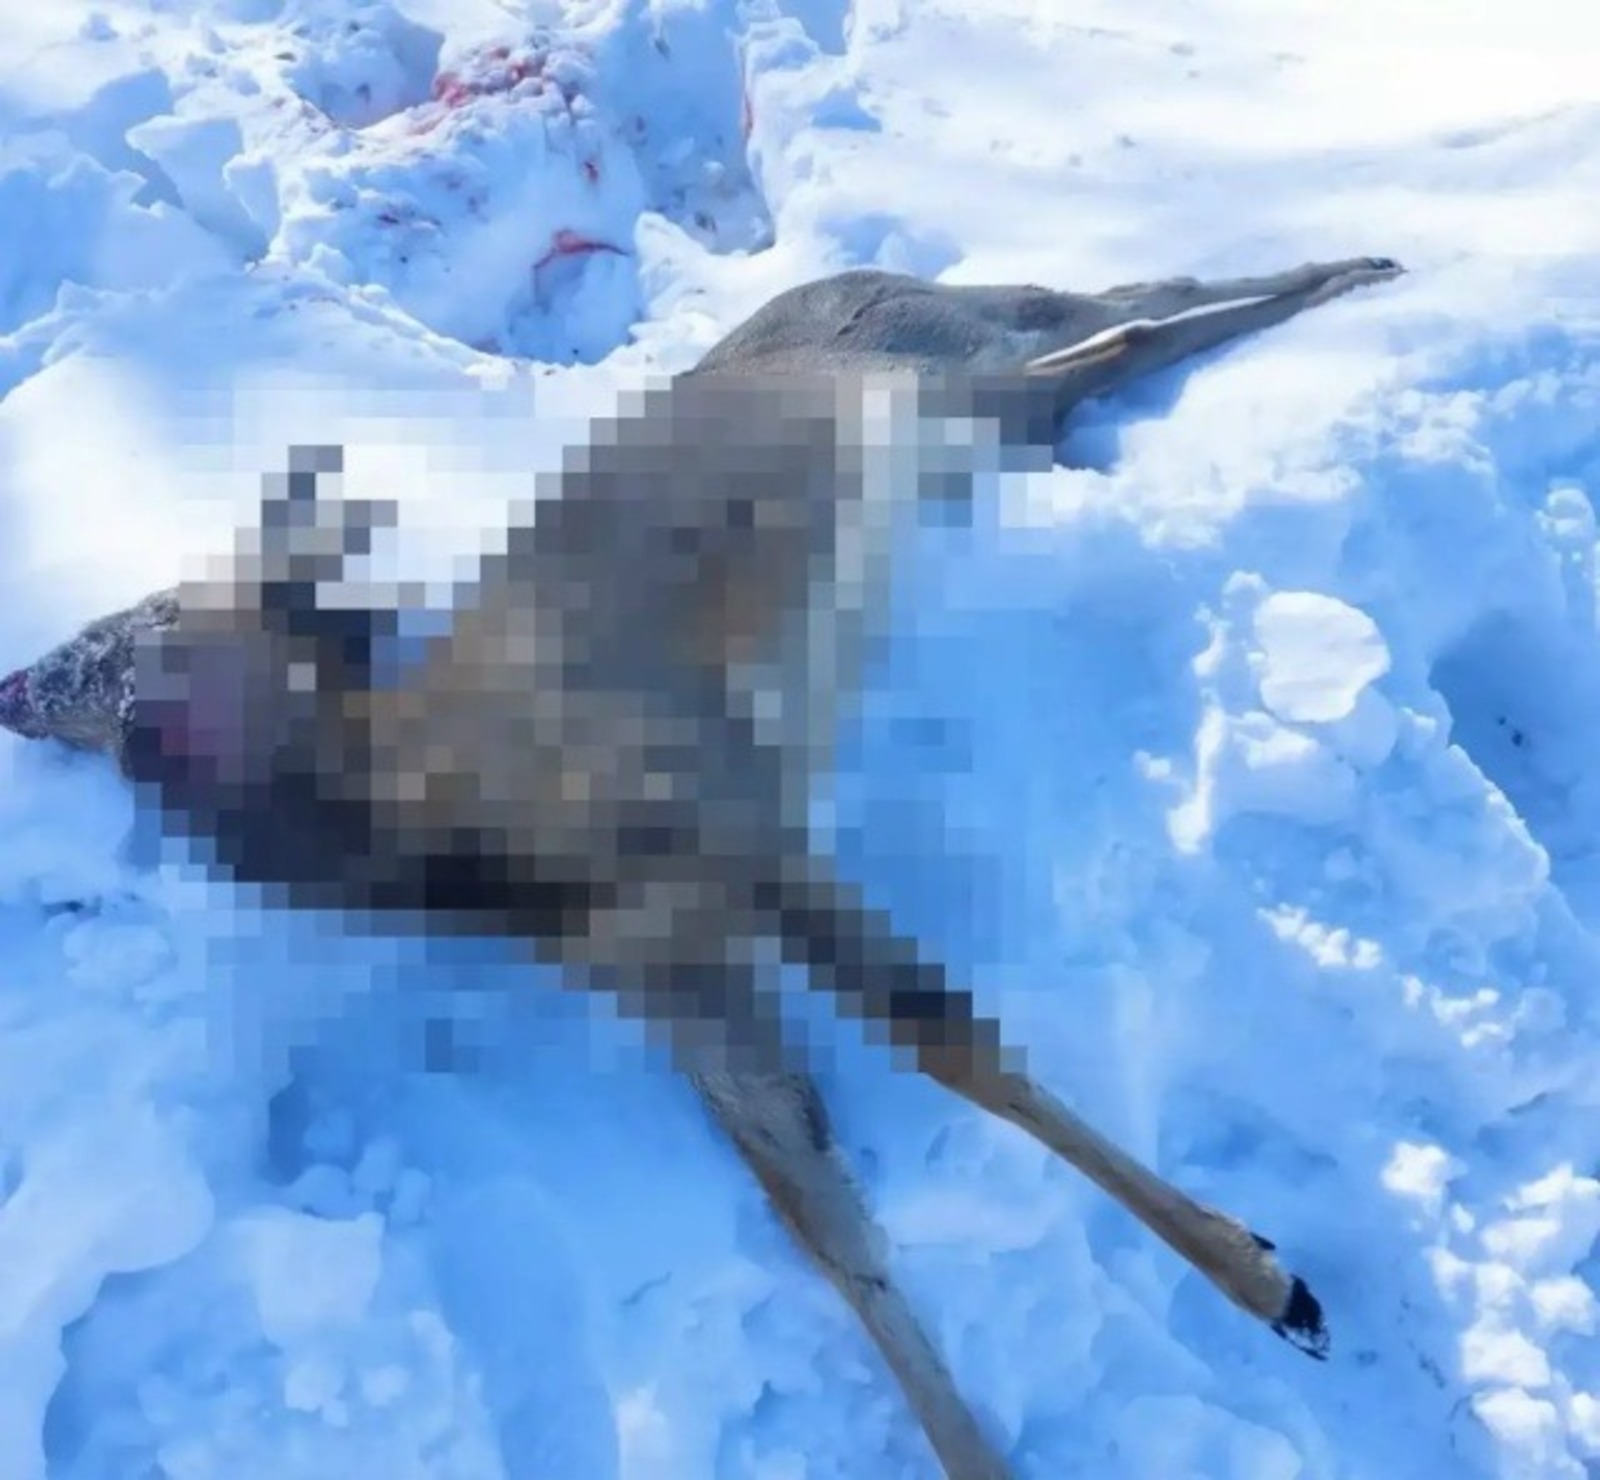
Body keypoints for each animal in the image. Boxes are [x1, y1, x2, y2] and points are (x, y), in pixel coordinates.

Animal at [0, 255, 1403, 1479]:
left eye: (143, 623)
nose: (16, 681)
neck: (466, 844)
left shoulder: (733, 814)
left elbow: (949, 1041)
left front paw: (1270, 1278)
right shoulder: (668, 968)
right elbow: (826, 1221)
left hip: (948, 345)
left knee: (1121, 302)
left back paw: (1351, 274)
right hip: (981, 408)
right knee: (1104, 349)